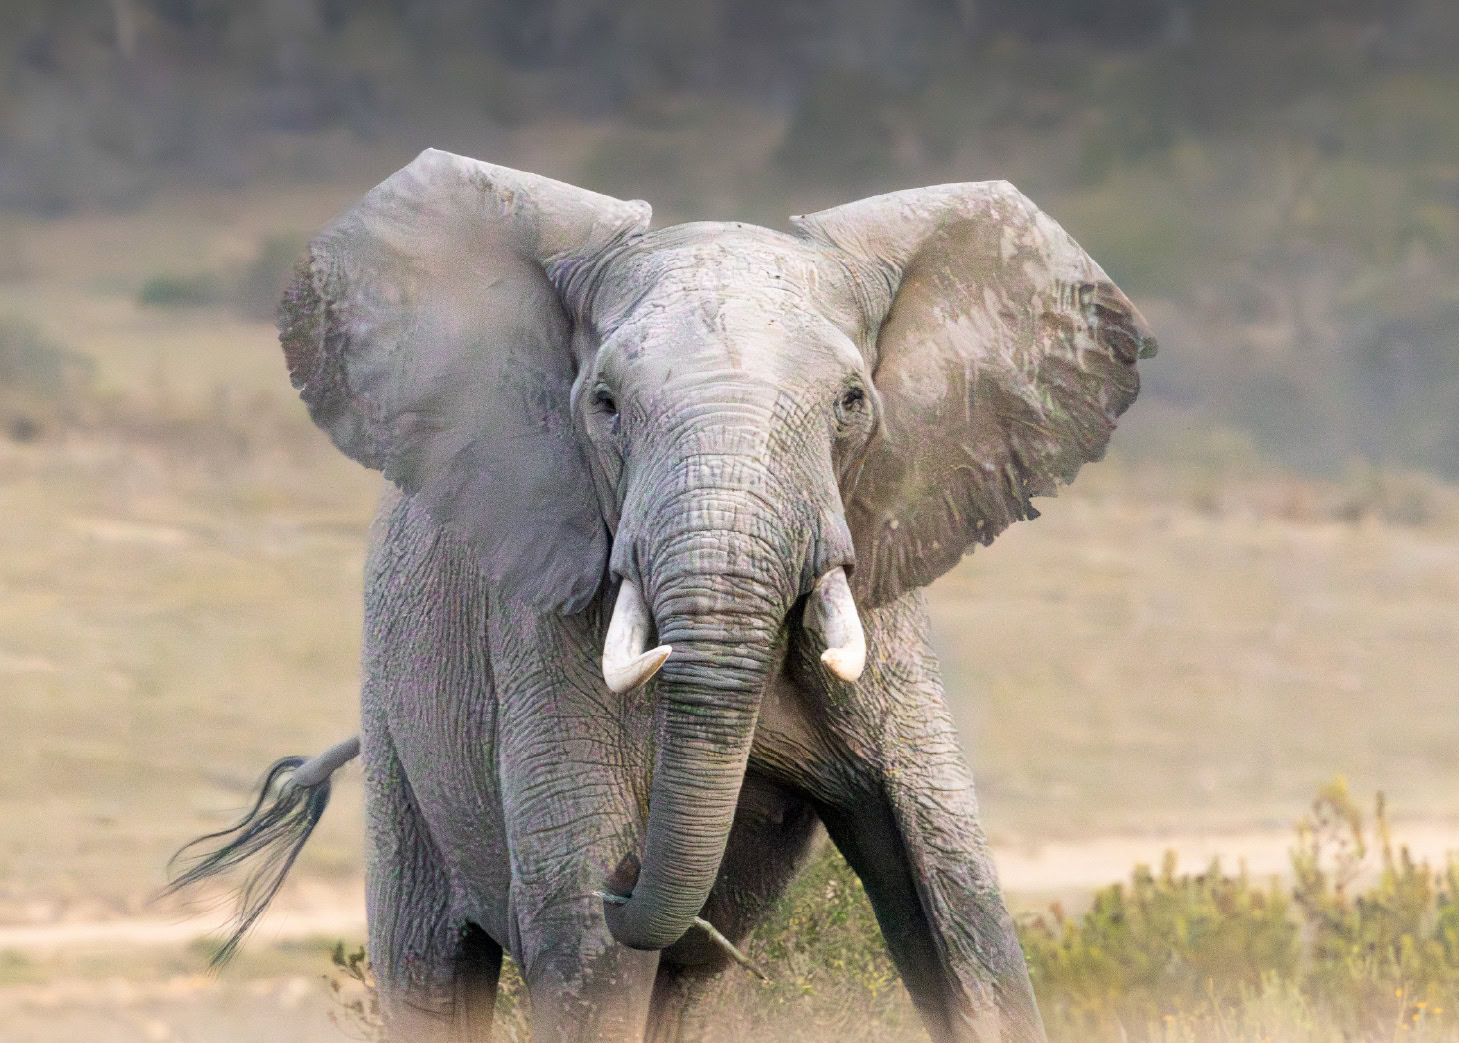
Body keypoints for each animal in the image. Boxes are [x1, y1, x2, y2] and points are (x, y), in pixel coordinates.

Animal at [167, 148, 1155, 1043]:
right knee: (433, 966)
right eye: (604, 403)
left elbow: (952, 888)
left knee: (682, 985)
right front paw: (597, 888)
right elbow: (583, 935)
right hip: (395, 706)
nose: (633, 873)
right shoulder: (545, 622)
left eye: (851, 402)